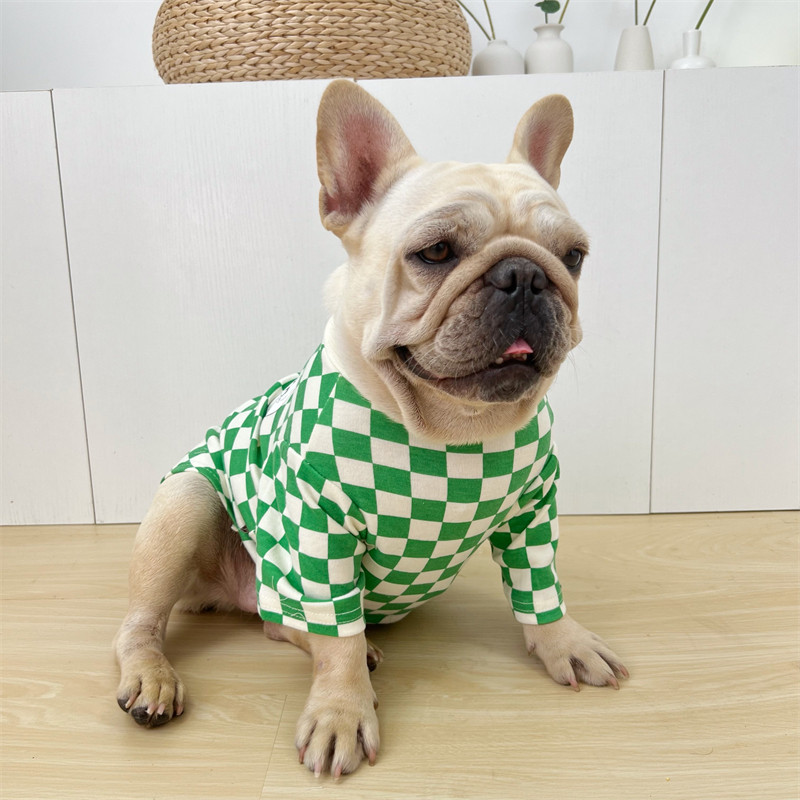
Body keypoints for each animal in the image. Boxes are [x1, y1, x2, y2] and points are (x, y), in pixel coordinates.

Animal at [114, 79, 627, 778]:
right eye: (435, 252)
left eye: (573, 257)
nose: (525, 275)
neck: (450, 431)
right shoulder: (318, 527)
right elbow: (338, 637)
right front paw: (340, 710)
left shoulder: (533, 511)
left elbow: (538, 582)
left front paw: (562, 641)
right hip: (185, 505)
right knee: (152, 623)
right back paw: (152, 678)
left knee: (280, 624)